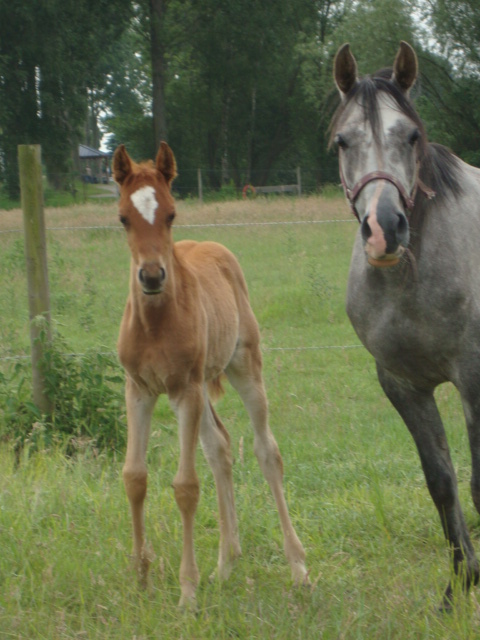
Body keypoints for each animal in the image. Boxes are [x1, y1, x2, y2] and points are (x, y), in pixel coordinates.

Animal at [113, 144, 308, 604]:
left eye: (170, 213)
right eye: (123, 217)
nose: (151, 276)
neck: (155, 323)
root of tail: (214, 246)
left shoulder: (183, 390)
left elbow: (185, 486)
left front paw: (187, 591)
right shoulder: (139, 389)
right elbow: (134, 476)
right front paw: (142, 579)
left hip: (243, 368)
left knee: (266, 451)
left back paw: (297, 566)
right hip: (201, 388)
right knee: (219, 448)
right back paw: (226, 563)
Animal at [332, 42, 480, 608]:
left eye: (411, 135)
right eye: (342, 141)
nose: (384, 229)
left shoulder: (473, 380)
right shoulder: (402, 384)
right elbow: (441, 481)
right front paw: (459, 587)